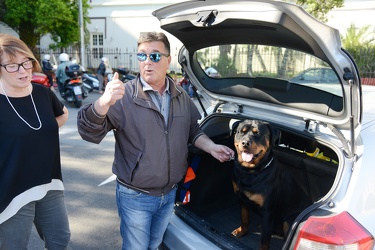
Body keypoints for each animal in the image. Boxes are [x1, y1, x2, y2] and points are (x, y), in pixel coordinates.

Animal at [232, 119, 312, 250]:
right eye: (241, 132)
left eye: (258, 134)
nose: (245, 143)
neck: (250, 171)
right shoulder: (241, 199)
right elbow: (244, 217)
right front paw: (242, 231)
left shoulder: (268, 210)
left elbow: (264, 239)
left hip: (289, 220)